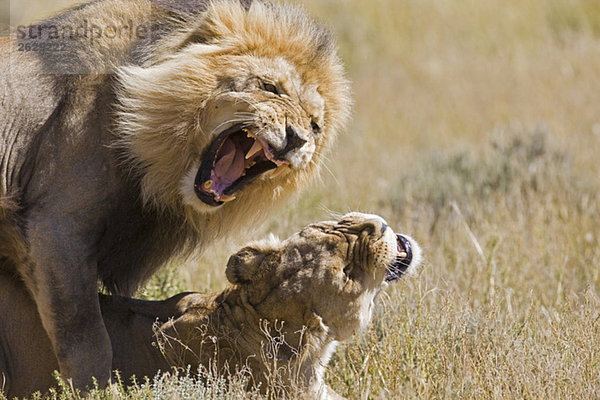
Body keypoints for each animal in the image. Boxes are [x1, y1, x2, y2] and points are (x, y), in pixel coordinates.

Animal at [0, 0, 350, 390]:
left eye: (315, 125)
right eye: (270, 87)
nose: (297, 139)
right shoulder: (55, 228)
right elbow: (87, 338)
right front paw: (99, 391)